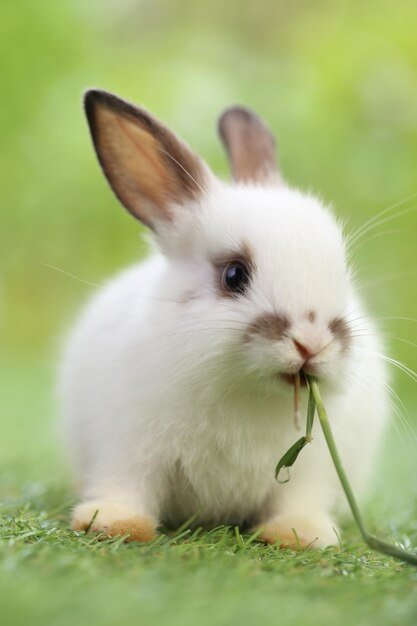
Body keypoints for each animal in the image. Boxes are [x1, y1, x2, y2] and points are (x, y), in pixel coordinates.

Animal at [59, 89, 390, 544]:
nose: (312, 342)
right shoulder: (126, 447)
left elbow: (298, 499)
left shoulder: (313, 467)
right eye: (234, 274)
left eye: (343, 272)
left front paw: (299, 535)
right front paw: (113, 524)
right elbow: (128, 485)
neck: (246, 393)